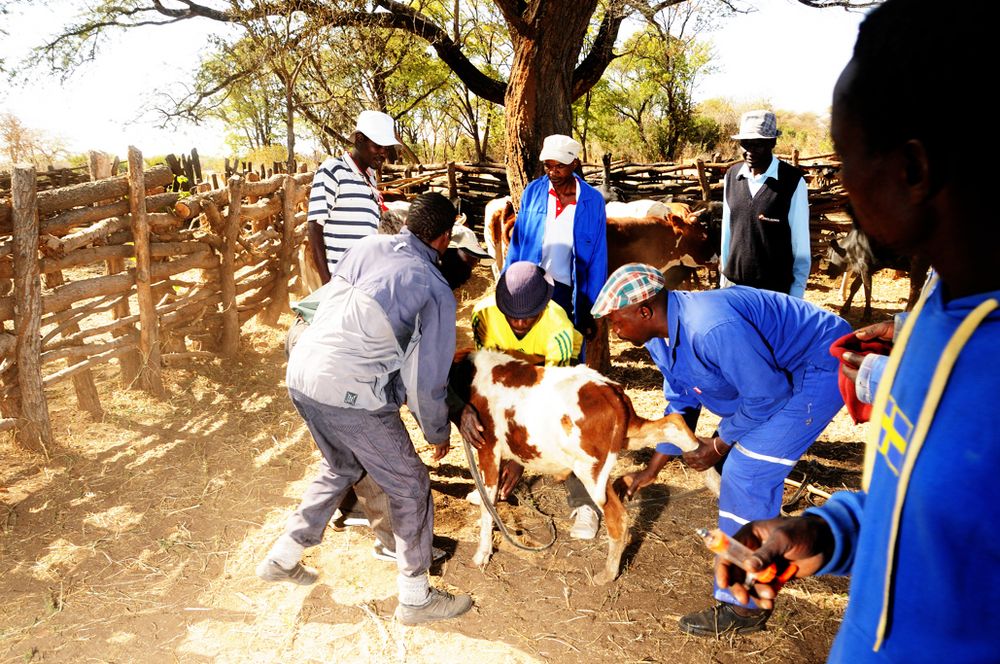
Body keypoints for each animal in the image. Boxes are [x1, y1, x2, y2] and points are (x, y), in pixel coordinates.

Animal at [450, 350, 700, 584]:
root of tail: (609, 389)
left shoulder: (487, 447)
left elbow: (488, 502)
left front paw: (481, 555)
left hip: (590, 469)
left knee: (618, 517)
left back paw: (607, 574)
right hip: (630, 435)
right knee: (674, 423)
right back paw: (700, 457)